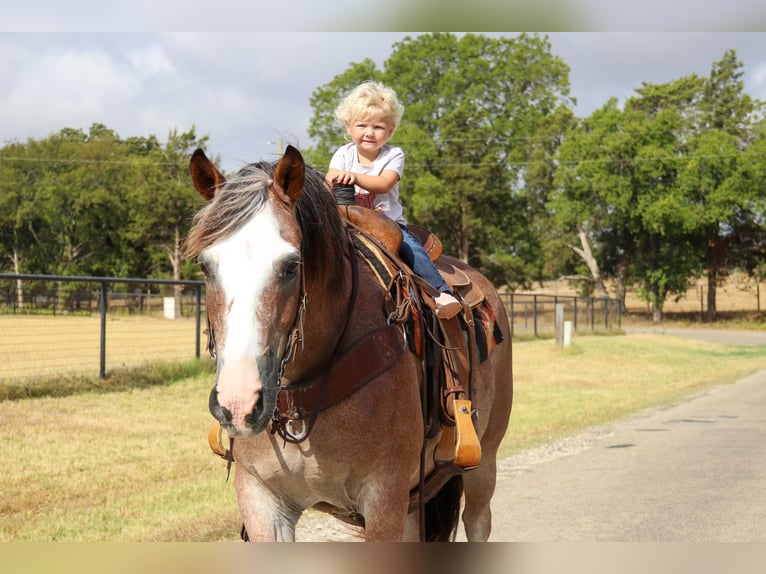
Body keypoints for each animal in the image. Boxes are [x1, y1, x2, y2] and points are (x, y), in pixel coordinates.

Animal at [184, 146, 516, 544]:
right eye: (205, 266)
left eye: (291, 265)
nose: (238, 402)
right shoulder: (261, 499)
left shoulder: (384, 496)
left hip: (484, 463)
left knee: (478, 520)